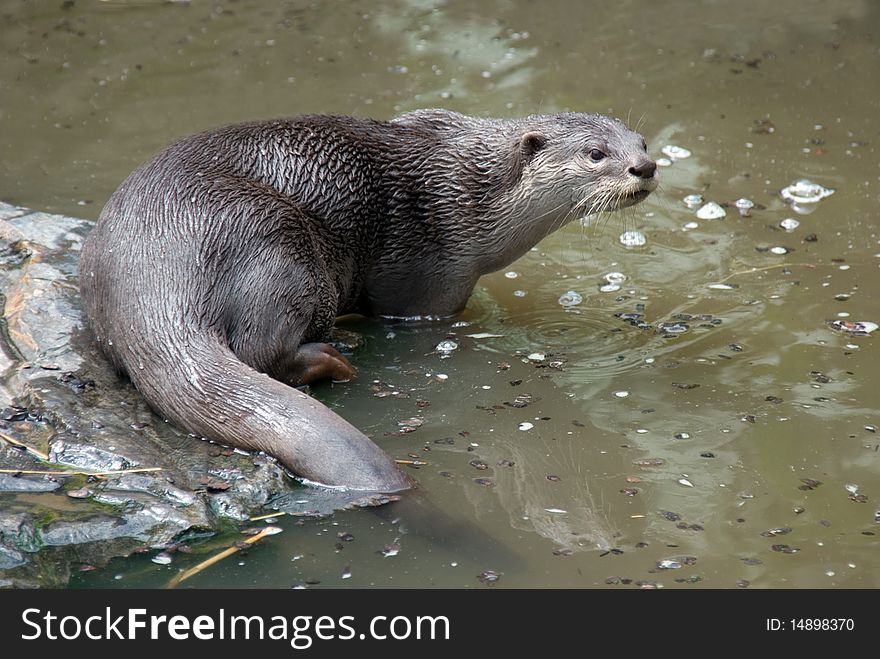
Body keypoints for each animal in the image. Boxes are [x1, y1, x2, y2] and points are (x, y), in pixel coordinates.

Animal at [79, 108, 656, 492]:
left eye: (643, 141)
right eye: (596, 154)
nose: (645, 167)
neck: (470, 201)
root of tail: (156, 277)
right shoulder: (434, 276)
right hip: (282, 251)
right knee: (261, 351)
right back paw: (334, 357)